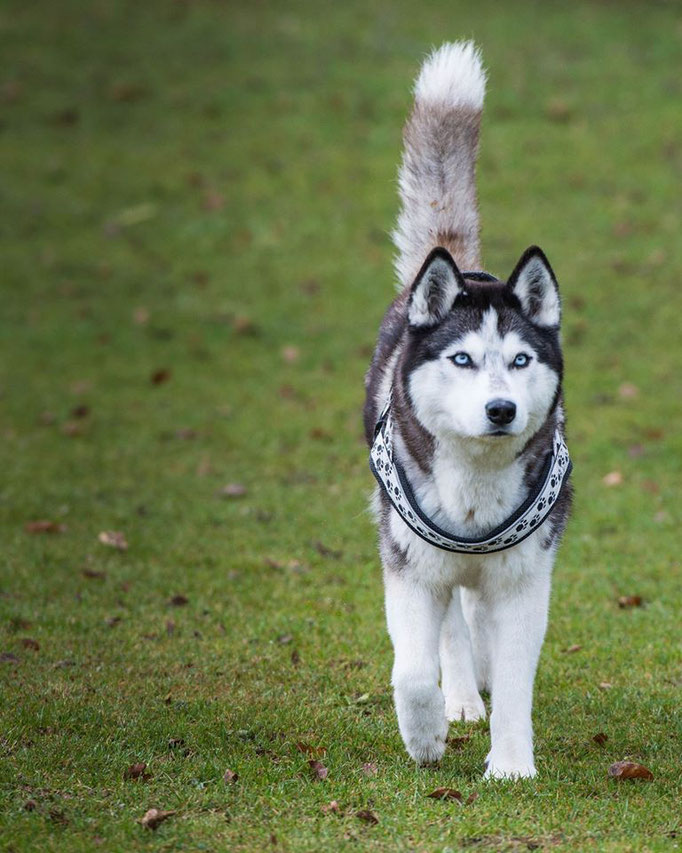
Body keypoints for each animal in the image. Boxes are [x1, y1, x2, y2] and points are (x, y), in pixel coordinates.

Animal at [364, 41, 572, 780]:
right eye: (461, 360)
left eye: (520, 360)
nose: (502, 409)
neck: (476, 486)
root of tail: (467, 270)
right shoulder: (407, 569)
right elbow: (411, 668)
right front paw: (425, 735)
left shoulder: (527, 577)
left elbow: (514, 674)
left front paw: (510, 763)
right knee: (452, 627)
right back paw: (456, 697)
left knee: (478, 620)